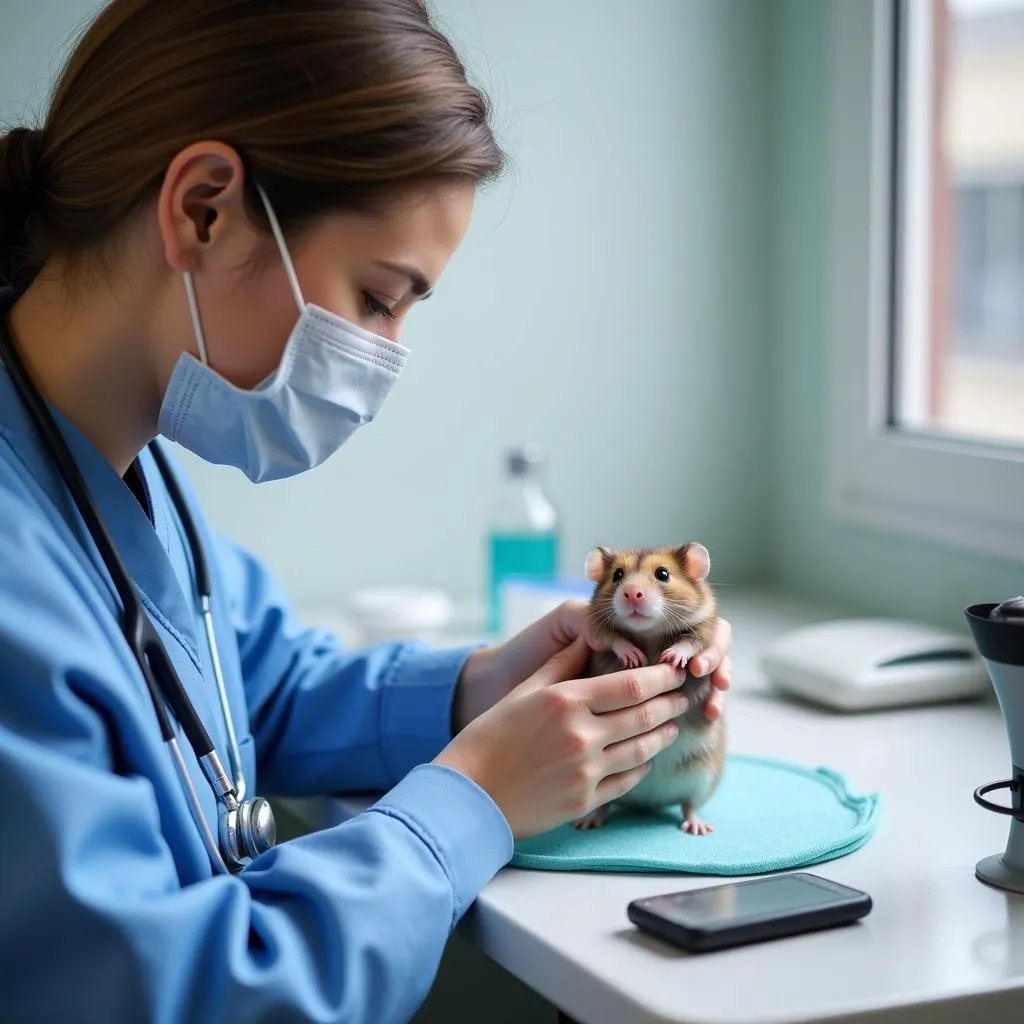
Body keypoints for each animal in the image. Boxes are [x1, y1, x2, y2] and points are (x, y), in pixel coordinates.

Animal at [573, 540, 724, 835]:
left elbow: (692, 642)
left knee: (690, 804)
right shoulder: (596, 629)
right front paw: (633, 656)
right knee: (603, 806)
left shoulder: (707, 627)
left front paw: (673, 657)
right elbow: (613, 639)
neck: (650, 634)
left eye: (663, 574)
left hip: (704, 776)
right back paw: (587, 822)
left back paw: (697, 827)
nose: (632, 593)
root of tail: (649, 802)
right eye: (617, 575)